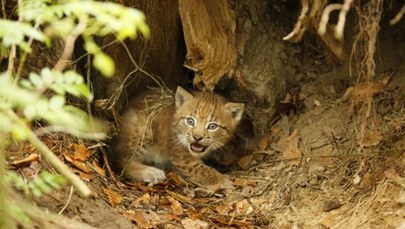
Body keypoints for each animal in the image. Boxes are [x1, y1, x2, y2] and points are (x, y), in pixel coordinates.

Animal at [109, 87, 245, 191]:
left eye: (212, 126)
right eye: (190, 121)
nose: (197, 137)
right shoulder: (183, 159)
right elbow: (203, 170)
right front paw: (224, 181)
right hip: (143, 129)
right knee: (120, 160)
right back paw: (151, 172)